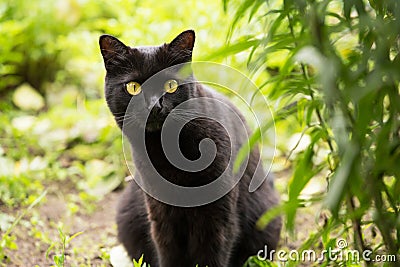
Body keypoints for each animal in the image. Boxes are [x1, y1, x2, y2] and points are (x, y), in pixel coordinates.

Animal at [99, 29, 282, 267]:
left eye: (170, 85)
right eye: (133, 87)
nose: (154, 105)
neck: (167, 152)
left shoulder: (217, 215)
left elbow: (211, 255)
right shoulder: (160, 214)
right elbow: (168, 253)